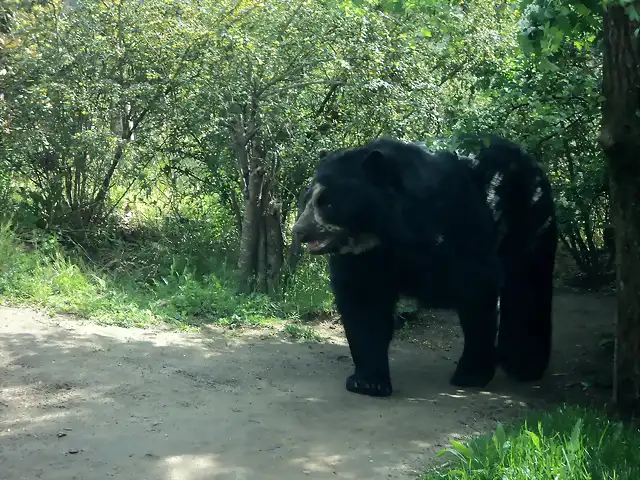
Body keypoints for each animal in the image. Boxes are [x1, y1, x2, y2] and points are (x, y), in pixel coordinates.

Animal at [292, 135, 556, 398]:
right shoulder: (365, 258)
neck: (385, 234)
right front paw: (367, 382)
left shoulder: (461, 231)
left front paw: (470, 375)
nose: (299, 231)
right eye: (307, 199)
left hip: (528, 222)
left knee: (528, 286)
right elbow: (363, 301)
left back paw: (524, 365)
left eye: (328, 204)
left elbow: (477, 290)